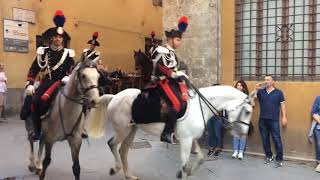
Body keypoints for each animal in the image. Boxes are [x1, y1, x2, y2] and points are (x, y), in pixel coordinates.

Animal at [86, 85, 256, 179]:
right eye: (248, 111)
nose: (244, 133)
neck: (200, 106)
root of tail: (115, 96)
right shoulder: (186, 140)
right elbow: (185, 164)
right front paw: (184, 173)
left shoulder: (191, 139)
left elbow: (200, 159)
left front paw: (187, 172)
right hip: (122, 129)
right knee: (112, 144)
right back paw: (115, 169)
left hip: (131, 130)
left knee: (123, 151)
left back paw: (129, 175)